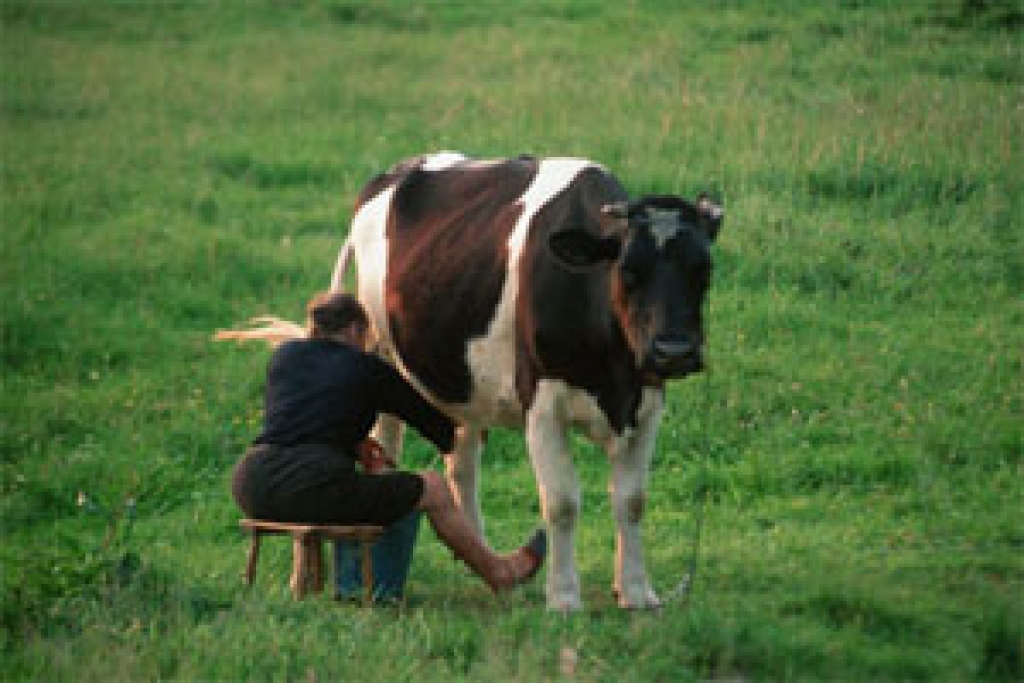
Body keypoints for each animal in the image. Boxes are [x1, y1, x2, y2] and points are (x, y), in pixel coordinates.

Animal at [327, 150, 720, 610]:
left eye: (703, 269)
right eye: (627, 270)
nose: (674, 350)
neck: (613, 376)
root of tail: (400, 169)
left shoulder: (648, 400)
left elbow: (632, 500)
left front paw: (637, 591)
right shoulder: (542, 402)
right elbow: (562, 502)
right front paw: (564, 597)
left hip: (464, 380)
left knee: (461, 460)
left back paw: (486, 561)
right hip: (383, 357)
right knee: (387, 446)